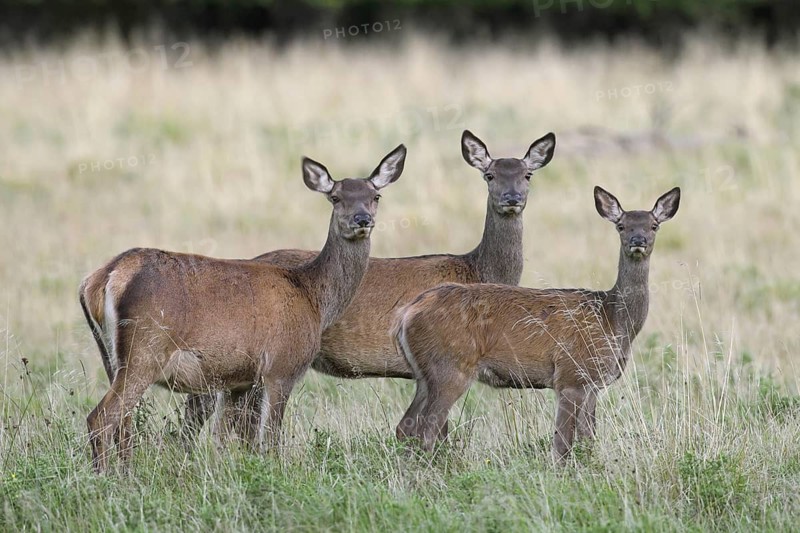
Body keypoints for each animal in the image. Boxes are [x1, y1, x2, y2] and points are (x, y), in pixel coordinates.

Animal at [79, 144, 406, 472]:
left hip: (110, 356)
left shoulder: (238, 380)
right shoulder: (281, 367)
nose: (362, 219)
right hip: (144, 349)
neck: (313, 298)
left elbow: (224, 439)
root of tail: (105, 277)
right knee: (102, 416)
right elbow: (269, 440)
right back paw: (106, 477)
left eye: (375, 195)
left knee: (123, 422)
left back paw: (125, 474)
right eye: (336, 197)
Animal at [393, 186, 680, 462]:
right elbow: (562, 446)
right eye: (621, 225)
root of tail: (408, 313)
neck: (613, 322)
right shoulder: (571, 376)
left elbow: (588, 441)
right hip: (450, 367)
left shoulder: (592, 385)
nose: (637, 241)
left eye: (654, 225)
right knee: (426, 431)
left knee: (407, 426)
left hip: (425, 374)